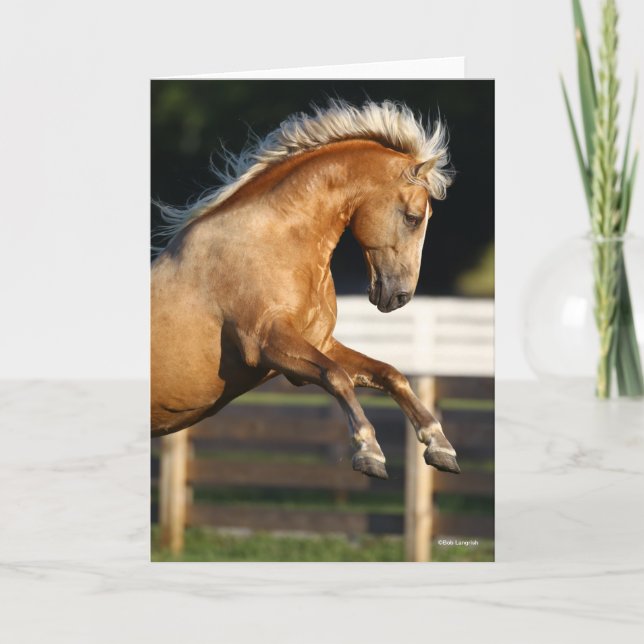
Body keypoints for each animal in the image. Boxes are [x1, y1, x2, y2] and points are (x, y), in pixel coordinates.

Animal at [151, 99, 460, 479]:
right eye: (413, 218)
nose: (400, 296)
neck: (271, 243)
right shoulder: (266, 342)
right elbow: (336, 376)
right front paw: (369, 452)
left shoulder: (319, 343)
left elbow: (390, 374)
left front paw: (440, 446)